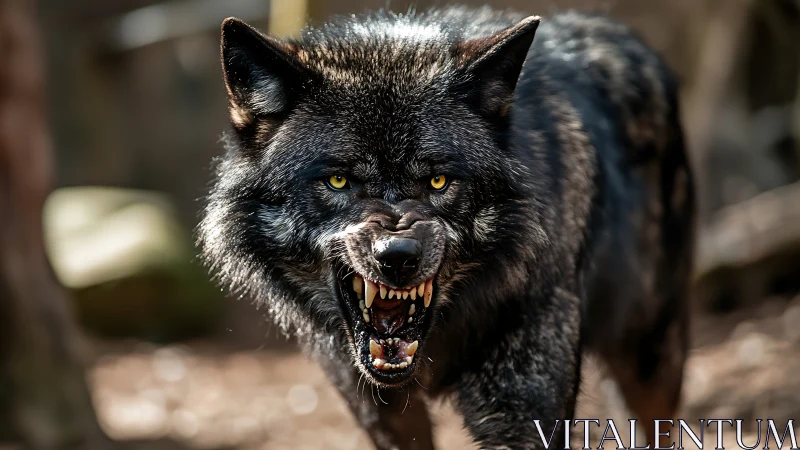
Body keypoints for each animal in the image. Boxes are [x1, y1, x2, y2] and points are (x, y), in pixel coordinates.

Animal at [198, 6, 695, 449]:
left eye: (438, 181)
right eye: (339, 180)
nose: (398, 257)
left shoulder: (526, 414)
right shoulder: (382, 416)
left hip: (651, 357)